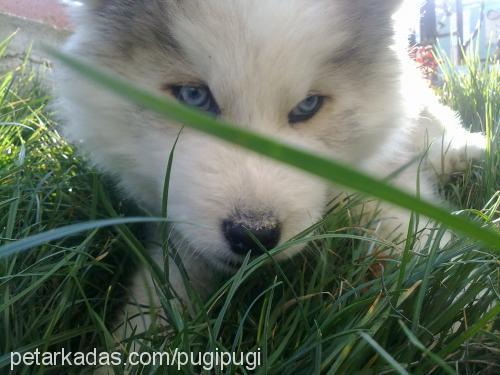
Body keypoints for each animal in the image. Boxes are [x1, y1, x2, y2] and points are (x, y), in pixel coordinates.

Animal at [54, 1, 484, 332]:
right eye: (193, 96)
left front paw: (462, 302)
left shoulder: (380, 179)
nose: (254, 236)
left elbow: (415, 235)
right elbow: (160, 295)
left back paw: (465, 153)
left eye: (308, 106)